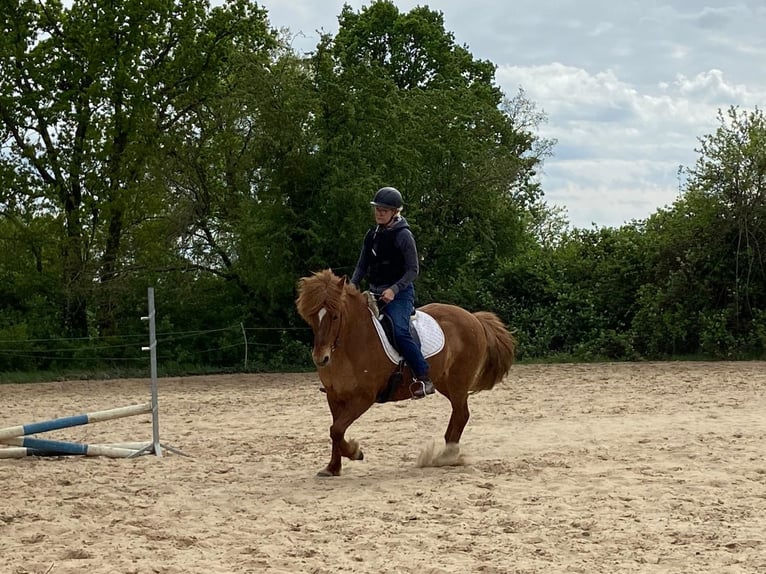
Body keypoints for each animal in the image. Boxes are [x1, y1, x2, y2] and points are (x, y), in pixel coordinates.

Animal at [296, 270, 520, 476]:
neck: (352, 345)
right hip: (444, 382)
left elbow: (336, 430)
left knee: (461, 414)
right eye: (311, 318)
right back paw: (445, 453)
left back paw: (445, 456)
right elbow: (335, 430)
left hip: (458, 382)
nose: (321, 358)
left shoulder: (363, 397)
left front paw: (355, 452)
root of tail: (473, 317)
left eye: (335, 316)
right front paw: (333, 468)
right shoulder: (334, 396)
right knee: (459, 415)